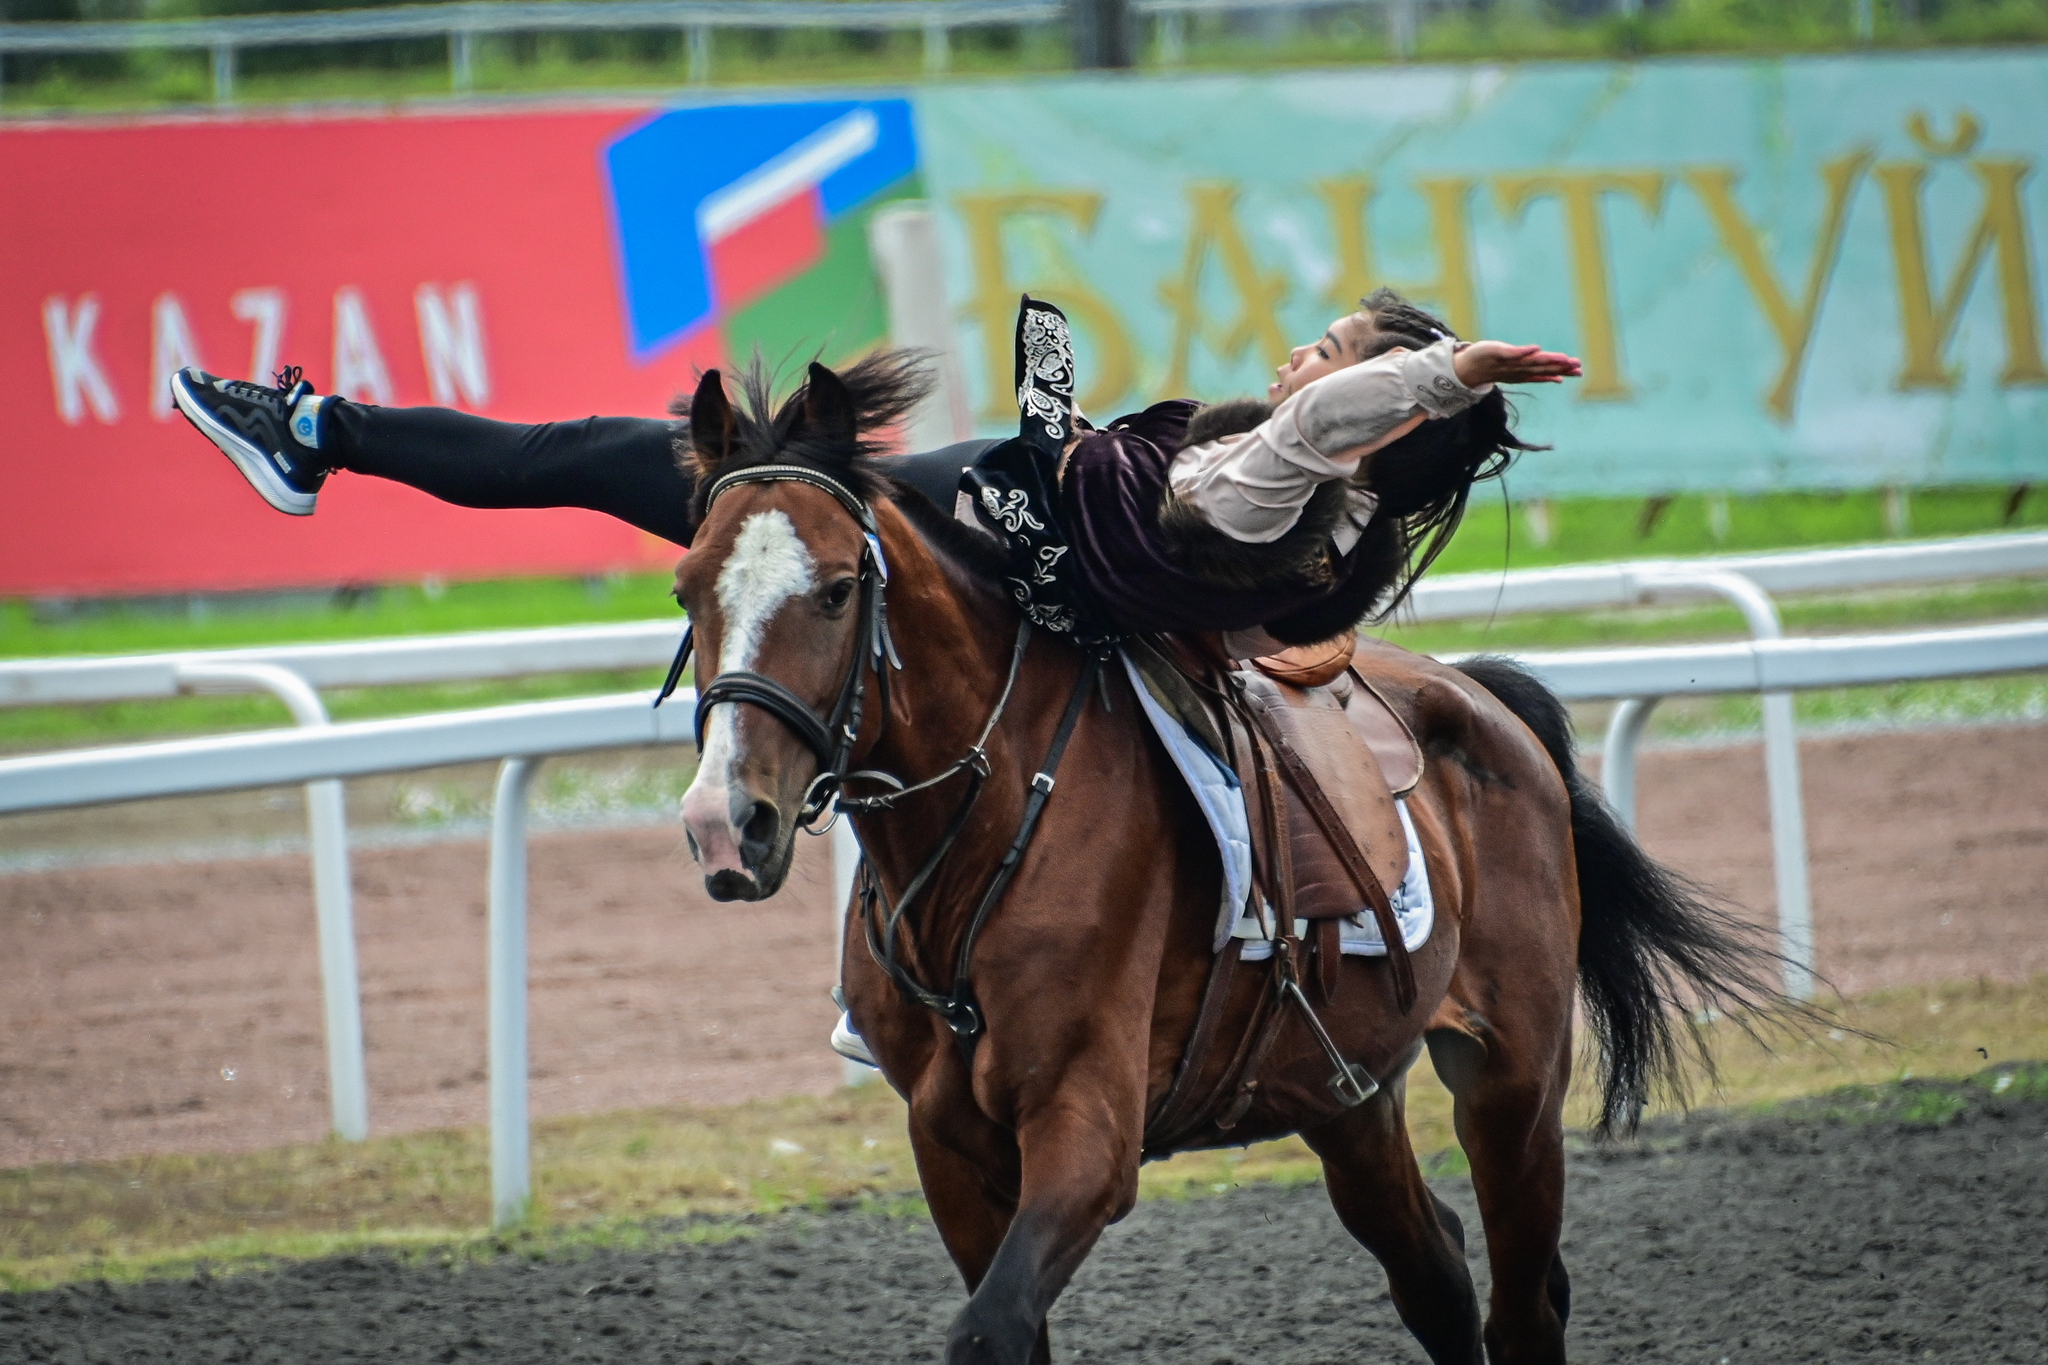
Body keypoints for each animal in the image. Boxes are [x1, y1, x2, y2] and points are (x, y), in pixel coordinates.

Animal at [671, 358, 1777, 1358]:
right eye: (686, 589)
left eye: (836, 589)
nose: (729, 821)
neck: (986, 831)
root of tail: (1481, 698)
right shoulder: (947, 1150)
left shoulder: (1087, 1131)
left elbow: (989, 1326)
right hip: (1347, 1094)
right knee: (1435, 1273)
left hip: (1512, 1085)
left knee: (1520, 1308)